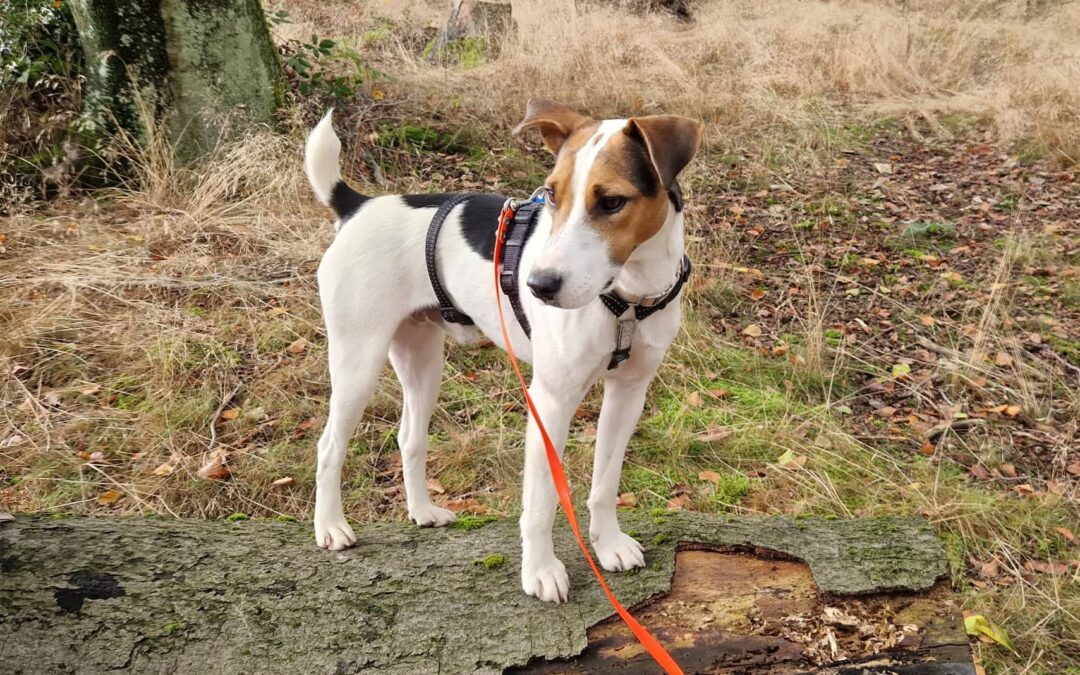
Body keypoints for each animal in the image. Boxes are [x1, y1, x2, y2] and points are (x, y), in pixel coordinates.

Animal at [304, 98, 704, 600]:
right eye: (551, 195)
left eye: (612, 201)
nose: (538, 285)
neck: (629, 297)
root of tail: (358, 205)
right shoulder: (550, 403)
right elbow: (543, 501)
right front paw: (540, 571)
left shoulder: (629, 394)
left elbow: (605, 480)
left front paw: (608, 543)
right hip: (358, 360)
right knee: (329, 446)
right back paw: (330, 526)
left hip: (422, 362)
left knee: (409, 437)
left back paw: (423, 511)